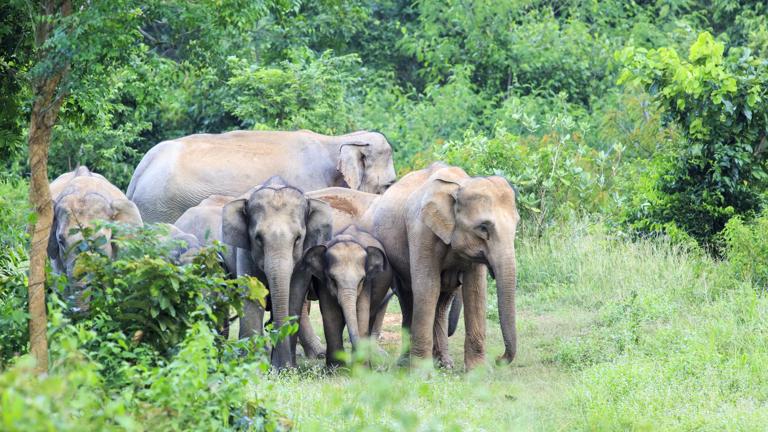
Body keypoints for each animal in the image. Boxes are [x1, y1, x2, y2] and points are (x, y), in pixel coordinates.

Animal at [219, 176, 332, 368]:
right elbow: (251, 296)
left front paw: (285, 369)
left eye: (298, 238)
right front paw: (254, 367)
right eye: (258, 238)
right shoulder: (245, 253)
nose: (281, 367)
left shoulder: (304, 256)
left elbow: (294, 296)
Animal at [296, 224, 392, 366]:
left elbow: (361, 312)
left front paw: (361, 367)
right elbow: (332, 315)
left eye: (362, 279)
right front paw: (336, 368)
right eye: (332, 279)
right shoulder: (323, 282)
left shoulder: (366, 285)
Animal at [362, 164, 520, 370]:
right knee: (408, 296)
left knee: (441, 301)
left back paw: (444, 363)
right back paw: (405, 364)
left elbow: (475, 291)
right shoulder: (421, 231)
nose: (499, 359)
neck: (459, 185)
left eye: (517, 224)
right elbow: (427, 287)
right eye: (483, 228)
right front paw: (422, 372)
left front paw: (478, 371)